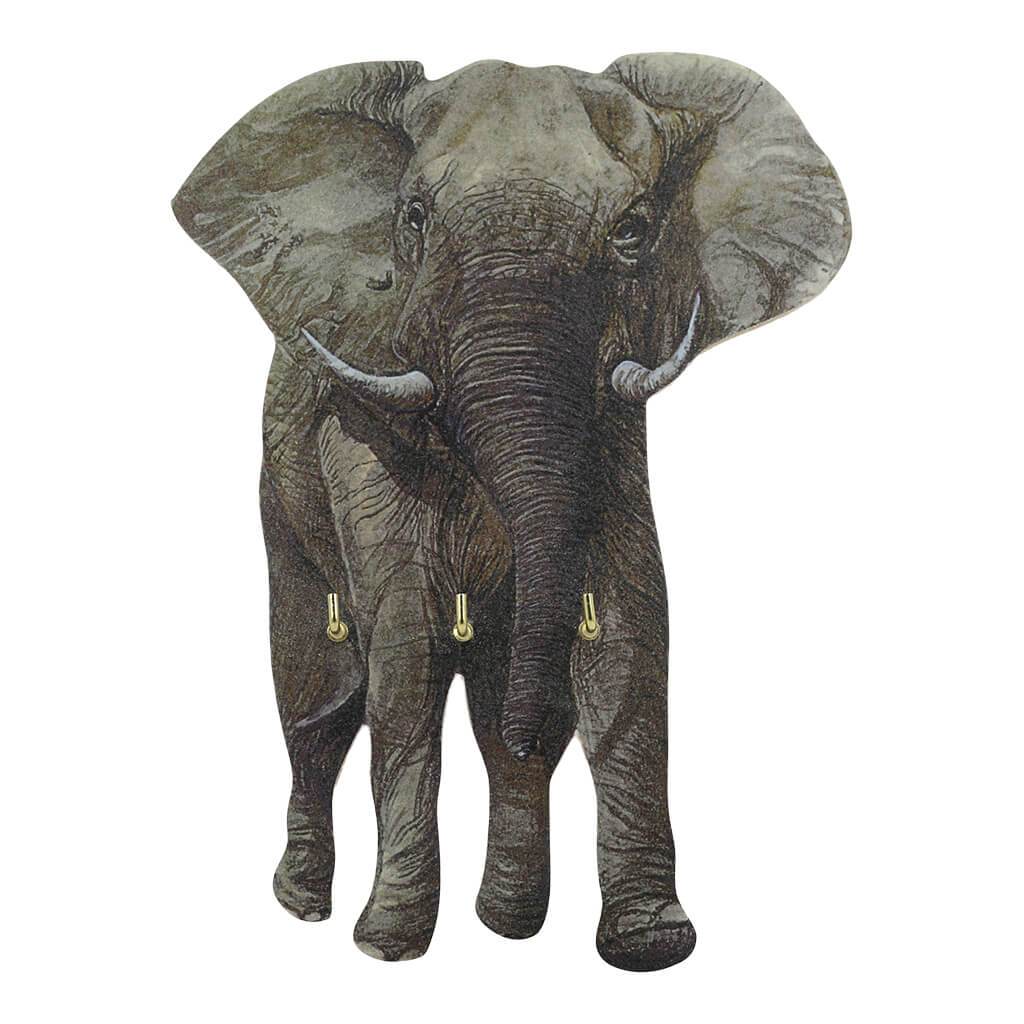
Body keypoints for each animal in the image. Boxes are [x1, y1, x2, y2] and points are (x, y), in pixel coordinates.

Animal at [172, 53, 850, 971]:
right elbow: (409, 642)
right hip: (279, 499)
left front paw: (650, 943)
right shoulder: (358, 430)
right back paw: (305, 904)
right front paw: (388, 943)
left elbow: (631, 631)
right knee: (318, 697)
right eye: (414, 217)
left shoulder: (612, 440)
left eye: (634, 231)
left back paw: (507, 922)